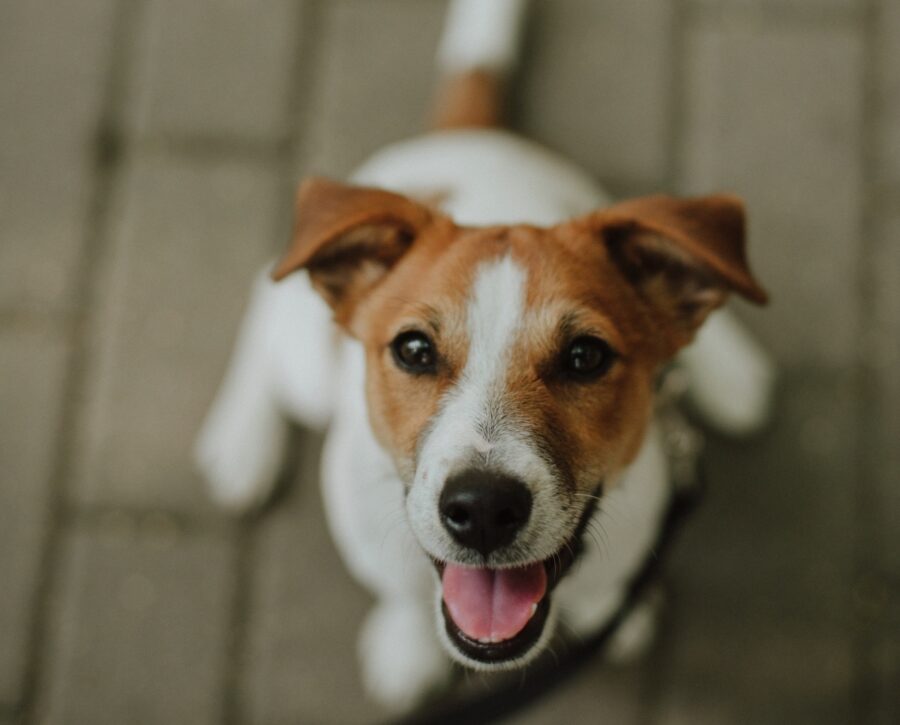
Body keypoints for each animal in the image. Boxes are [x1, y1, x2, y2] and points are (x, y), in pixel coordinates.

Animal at [197, 0, 772, 712]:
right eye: (414, 349)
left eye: (585, 357)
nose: (483, 511)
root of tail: (468, 134)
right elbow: (399, 596)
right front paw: (405, 646)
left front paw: (619, 612)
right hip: (305, 352)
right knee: (262, 291)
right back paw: (241, 443)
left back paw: (730, 372)